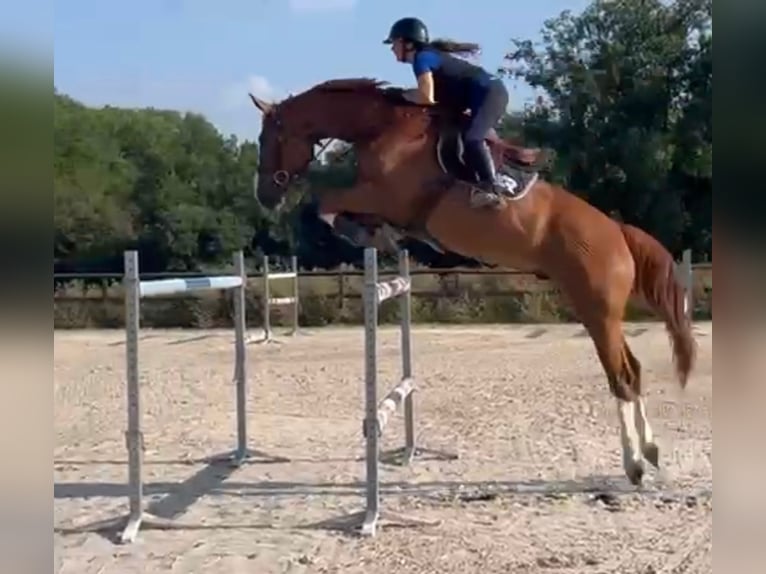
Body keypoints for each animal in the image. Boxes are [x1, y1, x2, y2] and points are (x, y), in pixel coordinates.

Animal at [248, 77, 697, 486]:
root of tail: (618, 232)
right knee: (633, 371)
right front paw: (374, 234)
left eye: (269, 138)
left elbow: (325, 203)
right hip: (600, 312)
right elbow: (337, 208)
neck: (382, 130)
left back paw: (634, 464)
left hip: (597, 313)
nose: (264, 196)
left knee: (621, 378)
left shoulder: (385, 196)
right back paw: (651, 451)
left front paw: (367, 234)